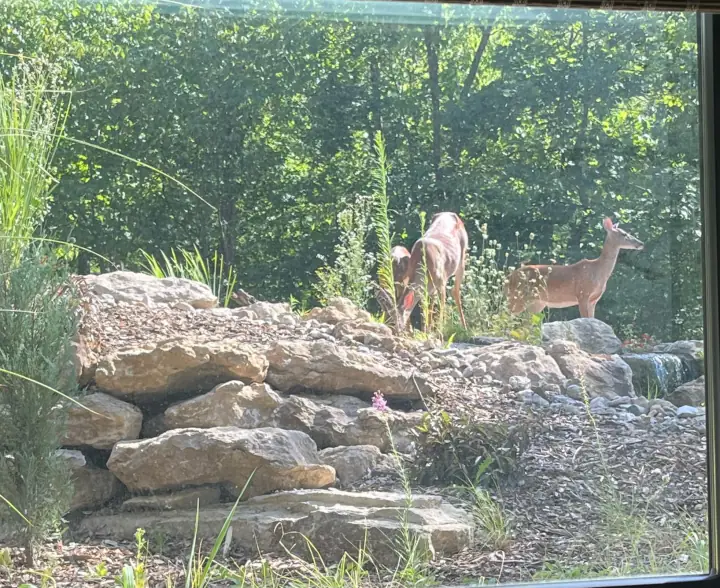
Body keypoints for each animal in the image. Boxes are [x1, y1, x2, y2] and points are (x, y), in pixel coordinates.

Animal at [505, 217, 644, 319]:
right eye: (624, 234)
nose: (641, 243)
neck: (599, 272)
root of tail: (508, 278)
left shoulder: (594, 300)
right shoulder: (583, 294)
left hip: (537, 302)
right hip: (517, 296)